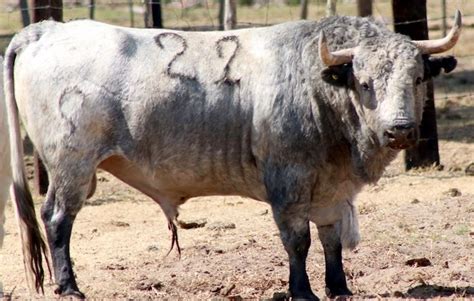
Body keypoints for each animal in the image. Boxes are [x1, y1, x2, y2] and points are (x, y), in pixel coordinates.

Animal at [2, 10, 462, 298]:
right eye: (364, 83)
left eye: (417, 78)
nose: (400, 129)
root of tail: (46, 30)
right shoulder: (288, 181)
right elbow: (298, 240)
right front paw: (302, 291)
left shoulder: (332, 188)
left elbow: (330, 239)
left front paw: (339, 288)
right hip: (71, 165)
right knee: (57, 219)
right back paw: (69, 286)